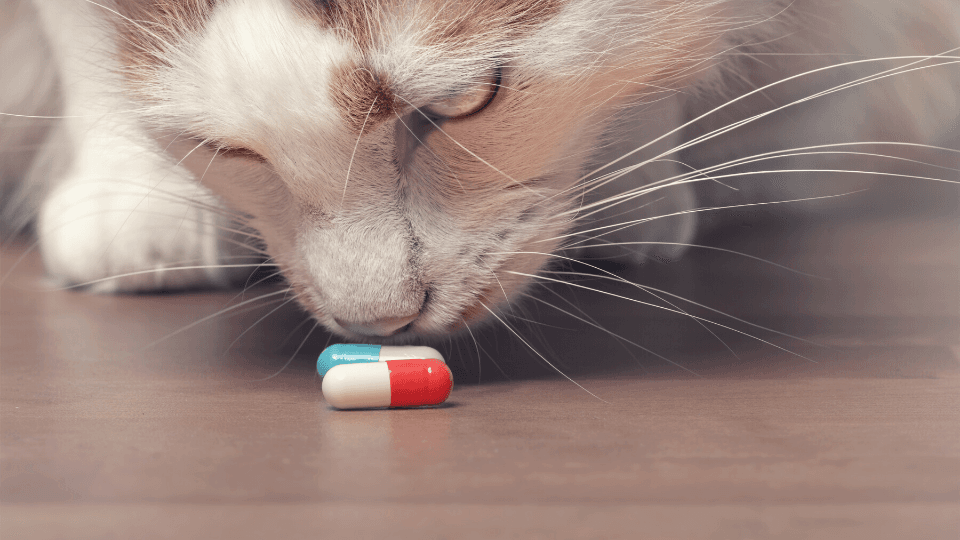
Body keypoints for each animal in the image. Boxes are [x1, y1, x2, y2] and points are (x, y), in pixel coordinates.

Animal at [1, 0, 960, 344]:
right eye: (231, 151)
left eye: (466, 101)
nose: (374, 323)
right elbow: (85, 44)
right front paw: (137, 204)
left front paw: (628, 183)